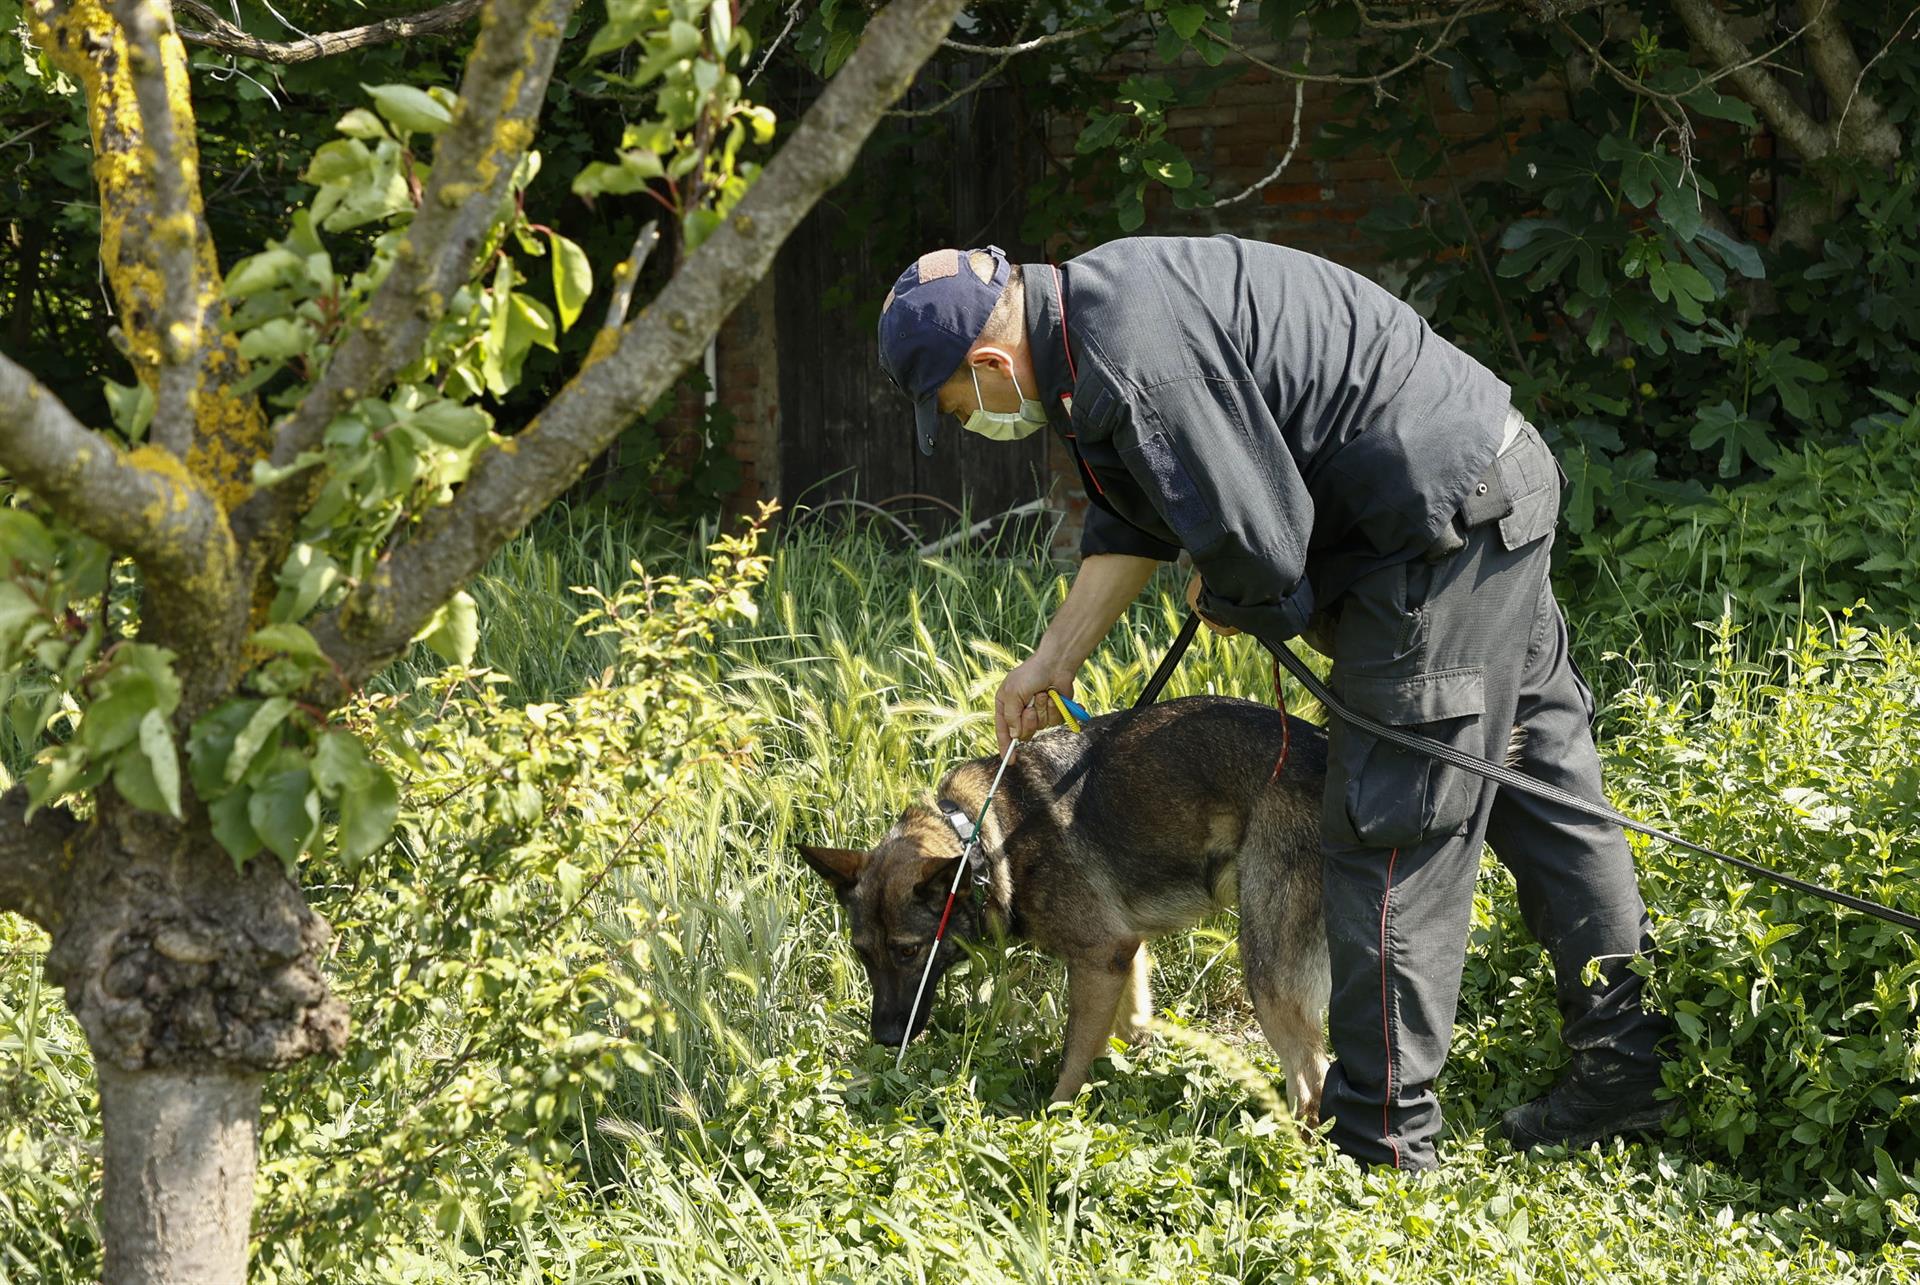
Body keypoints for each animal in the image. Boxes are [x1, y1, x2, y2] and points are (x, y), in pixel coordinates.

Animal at [798, 695, 1336, 1114]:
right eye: (863, 954)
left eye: (909, 951)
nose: (886, 1038)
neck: (983, 838)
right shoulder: (1125, 956)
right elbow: (1126, 1034)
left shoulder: (1099, 958)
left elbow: (1074, 1061)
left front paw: (1053, 1124)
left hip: (1266, 970)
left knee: (1311, 1082)